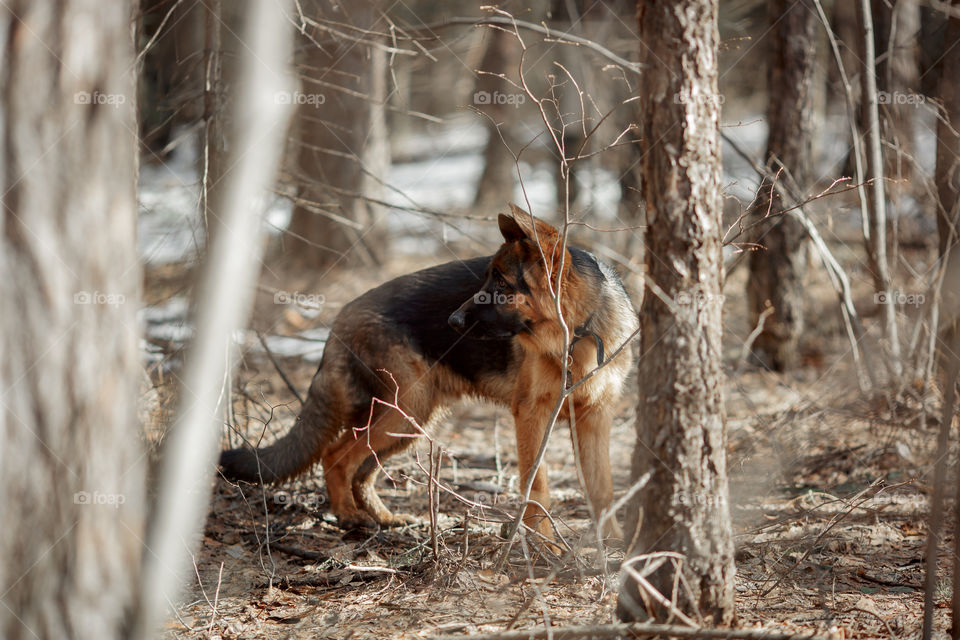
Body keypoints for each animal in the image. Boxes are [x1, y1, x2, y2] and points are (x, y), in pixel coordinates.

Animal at [218, 205, 636, 540]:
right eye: (487, 278)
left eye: (501, 284)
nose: (453, 321)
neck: (580, 331)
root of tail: (339, 320)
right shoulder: (531, 416)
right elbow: (538, 489)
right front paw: (546, 546)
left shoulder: (595, 418)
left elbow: (602, 488)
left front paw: (614, 545)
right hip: (406, 411)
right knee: (337, 456)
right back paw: (350, 517)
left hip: (412, 421)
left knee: (361, 470)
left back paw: (384, 517)